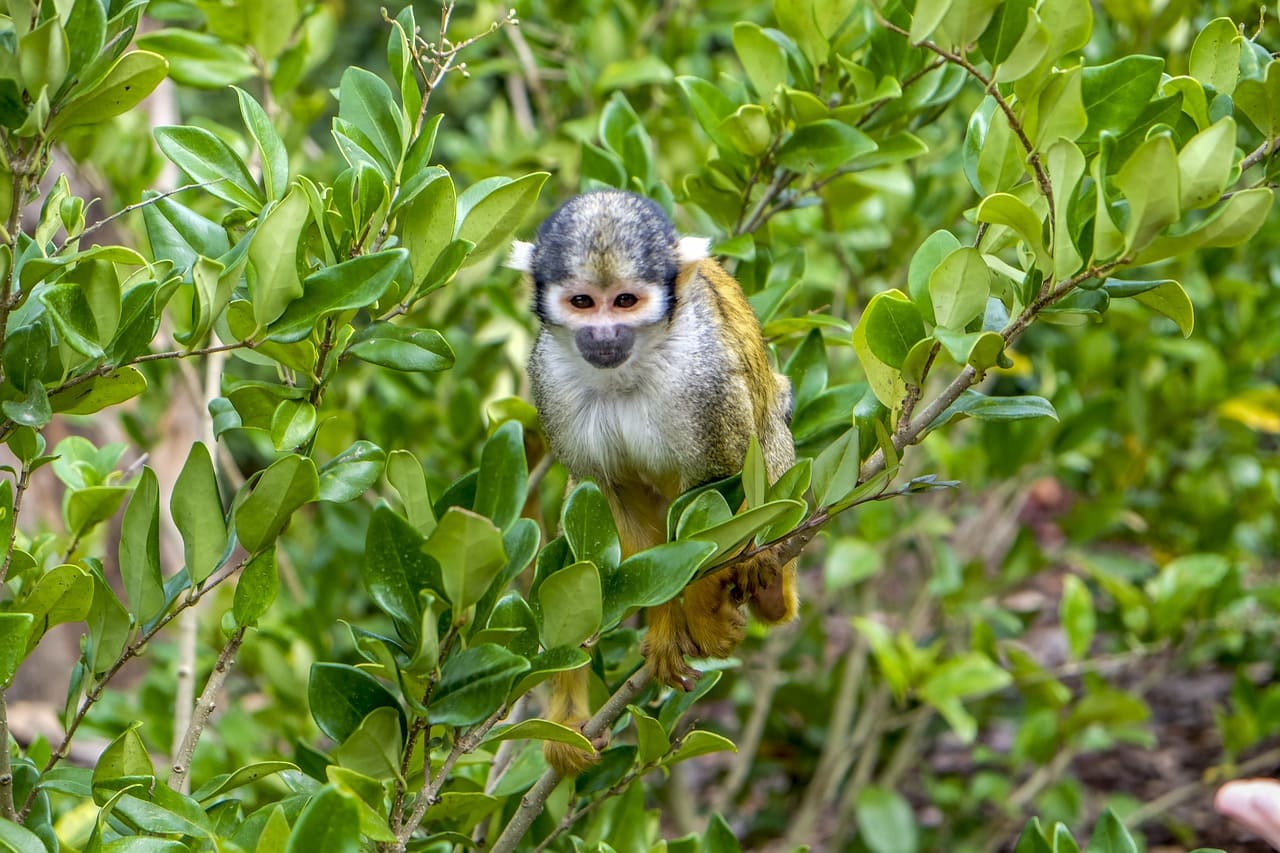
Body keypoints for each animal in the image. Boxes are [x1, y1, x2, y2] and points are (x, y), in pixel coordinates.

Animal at [512, 190, 793, 768]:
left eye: (625, 302)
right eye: (582, 303)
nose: (603, 334)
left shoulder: (703, 377)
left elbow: (723, 478)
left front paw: (705, 612)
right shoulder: (549, 379)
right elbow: (615, 502)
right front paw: (667, 626)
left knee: (765, 422)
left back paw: (764, 570)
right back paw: (568, 723)